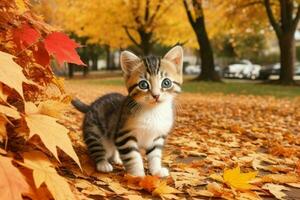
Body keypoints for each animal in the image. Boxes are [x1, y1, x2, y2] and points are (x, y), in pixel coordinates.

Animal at [71, 45, 183, 177]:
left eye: (166, 82)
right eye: (143, 84)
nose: (156, 95)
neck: (153, 111)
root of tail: (91, 105)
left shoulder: (157, 138)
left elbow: (154, 155)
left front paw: (156, 171)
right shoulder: (124, 135)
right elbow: (133, 157)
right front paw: (138, 176)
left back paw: (117, 159)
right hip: (94, 131)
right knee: (97, 148)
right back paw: (103, 163)